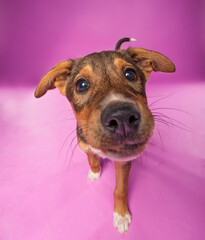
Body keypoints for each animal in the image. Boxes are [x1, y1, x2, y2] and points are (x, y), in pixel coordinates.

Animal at [34, 38, 175, 233]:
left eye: (130, 74)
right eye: (82, 85)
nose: (122, 116)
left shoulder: (123, 163)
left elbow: (120, 190)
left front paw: (121, 215)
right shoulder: (84, 145)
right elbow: (92, 158)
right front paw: (95, 172)